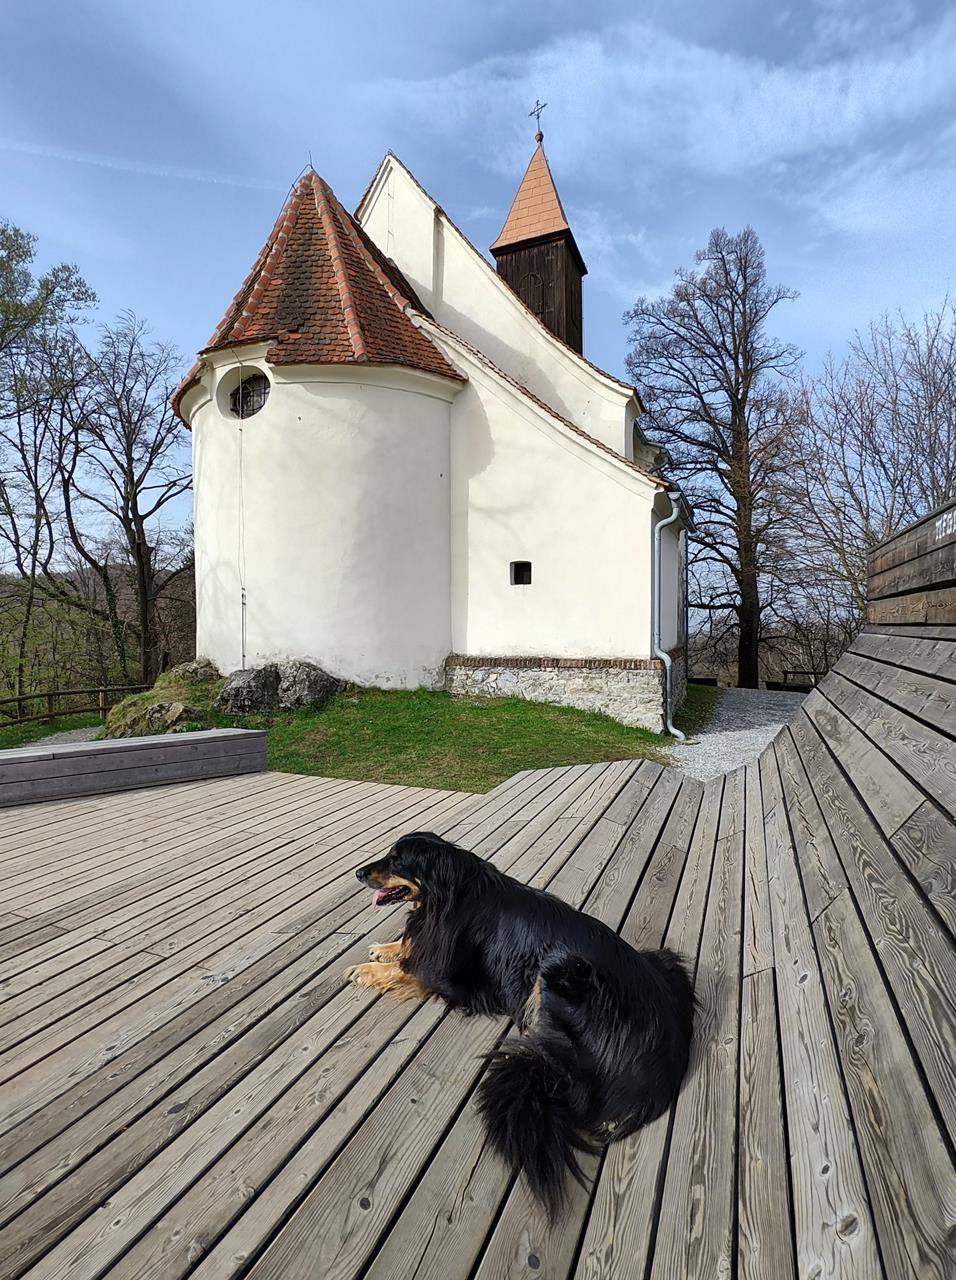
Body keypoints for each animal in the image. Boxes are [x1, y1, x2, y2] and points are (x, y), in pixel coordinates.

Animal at [346, 831, 695, 1218]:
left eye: (396, 860)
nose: (358, 872)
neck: (448, 893)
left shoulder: (444, 973)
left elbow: (408, 968)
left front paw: (366, 970)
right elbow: (409, 947)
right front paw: (385, 948)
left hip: (559, 969)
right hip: (664, 961)